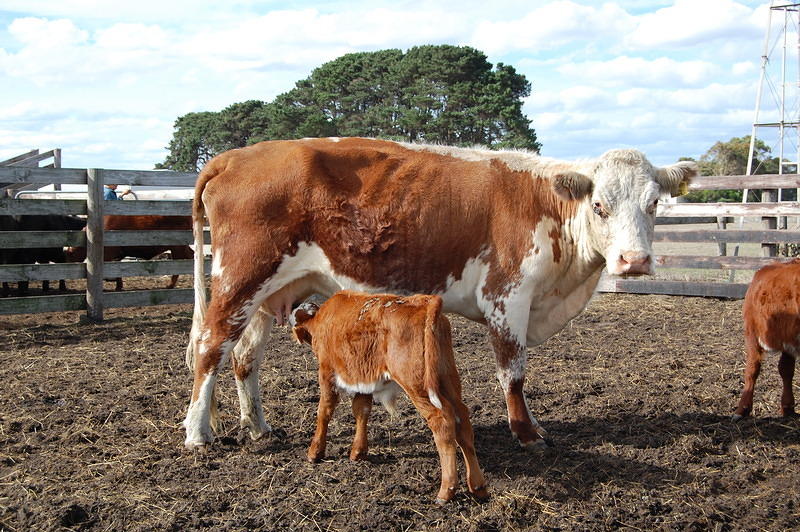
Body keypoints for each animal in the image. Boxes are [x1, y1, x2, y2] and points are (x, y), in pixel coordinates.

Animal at [181, 136, 692, 448]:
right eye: (600, 206)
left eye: (654, 203)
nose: (634, 261)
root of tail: (233, 157)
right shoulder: (507, 298)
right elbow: (513, 374)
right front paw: (526, 433)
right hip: (239, 279)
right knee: (209, 349)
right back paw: (198, 433)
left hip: (271, 292)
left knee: (244, 357)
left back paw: (258, 426)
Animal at [288, 290, 488, 502]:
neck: (322, 318)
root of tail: (424, 302)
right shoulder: (363, 382)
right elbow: (361, 411)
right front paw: (358, 451)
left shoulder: (327, 374)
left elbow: (324, 412)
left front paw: (315, 451)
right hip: (447, 379)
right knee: (462, 420)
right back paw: (478, 486)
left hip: (418, 386)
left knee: (441, 422)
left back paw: (446, 490)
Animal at [732, 260, 800, 420]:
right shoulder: (787, 340)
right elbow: (786, 370)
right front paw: (787, 406)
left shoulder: (751, 333)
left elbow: (752, 370)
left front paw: (742, 408)